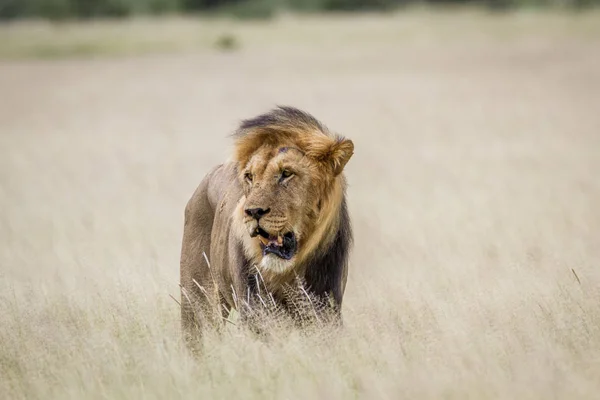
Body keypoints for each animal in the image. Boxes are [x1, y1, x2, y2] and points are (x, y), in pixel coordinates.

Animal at [180, 105, 354, 338]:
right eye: (250, 176)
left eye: (286, 173)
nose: (253, 211)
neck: (288, 273)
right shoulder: (257, 313)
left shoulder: (326, 311)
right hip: (197, 300)